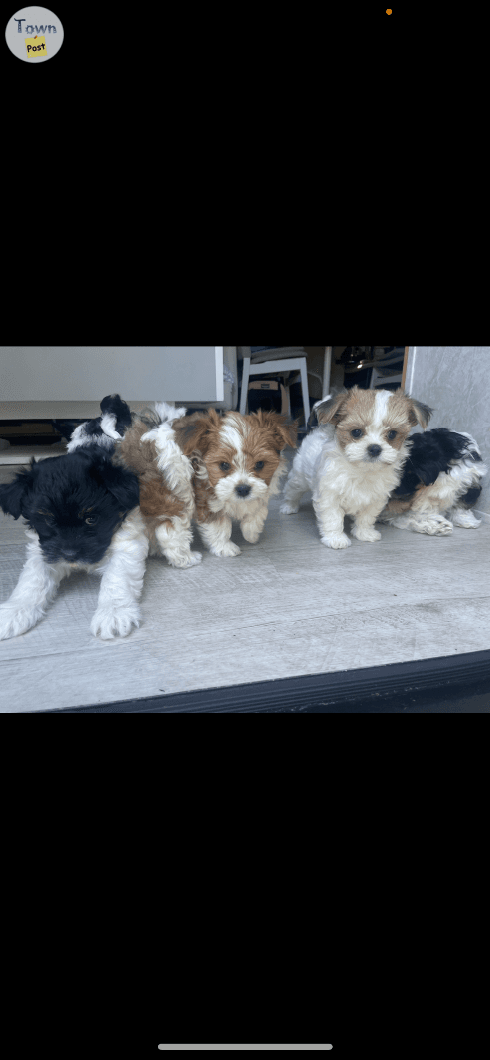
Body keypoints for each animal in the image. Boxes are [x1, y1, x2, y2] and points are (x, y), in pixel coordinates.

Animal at [0, 398, 147, 640]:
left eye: (91, 519)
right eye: (49, 521)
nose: (70, 555)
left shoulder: (127, 539)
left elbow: (116, 577)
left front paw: (113, 614)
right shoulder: (44, 549)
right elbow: (32, 580)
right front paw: (14, 612)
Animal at [116, 400, 296, 563]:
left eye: (260, 464)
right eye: (224, 465)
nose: (243, 489)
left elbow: (258, 509)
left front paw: (251, 531)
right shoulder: (206, 497)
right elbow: (219, 526)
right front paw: (225, 547)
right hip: (176, 489)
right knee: (170, 530)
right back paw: (186, 559)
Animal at [280, 387, 432, 551]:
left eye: (392, 434)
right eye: (356, 432)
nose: (374, 448)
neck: (362, 471)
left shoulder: (376, 499)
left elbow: (366, 517)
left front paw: (364, 533)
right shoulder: (330, 496)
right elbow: (333, 518)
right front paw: (335, 538)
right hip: (298, 478)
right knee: (292, 491)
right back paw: (288, 507)